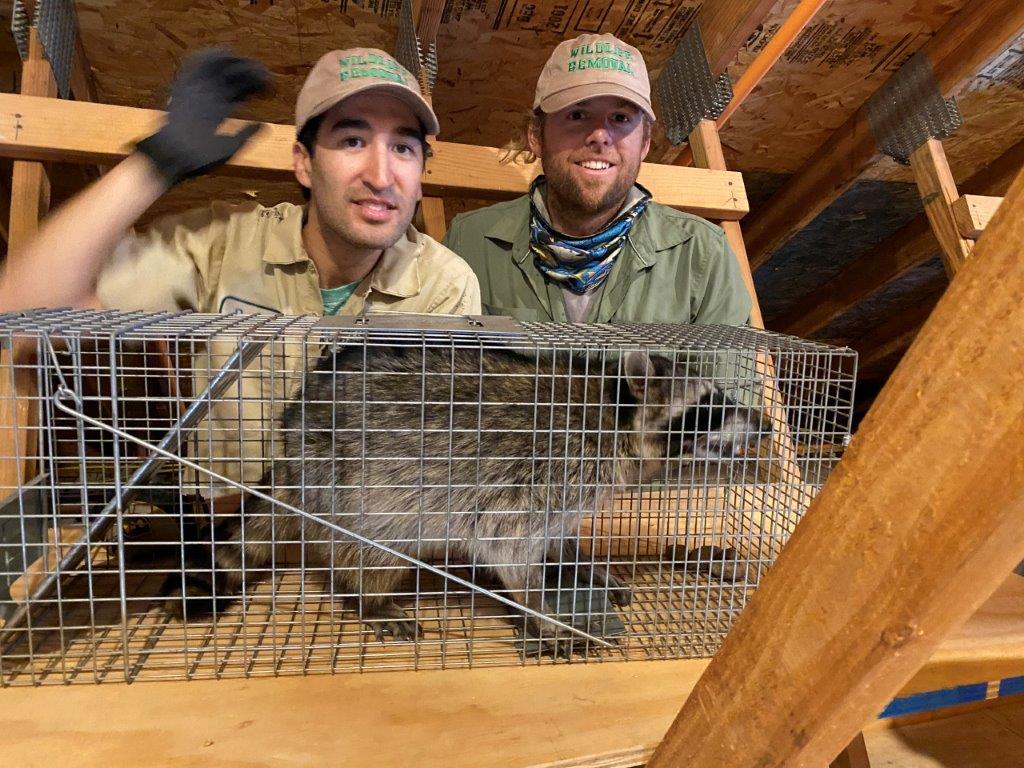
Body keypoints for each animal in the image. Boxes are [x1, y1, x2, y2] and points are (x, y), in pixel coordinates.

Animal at [169, 344, 767, 646]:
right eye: (711, 407)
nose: (763, 422)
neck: (618, 414)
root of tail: (290, 447)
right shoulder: (546, 469)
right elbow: (506, 545)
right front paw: (542, 612)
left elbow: (558, 538)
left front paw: (585, 565)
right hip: (356, 484)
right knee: (373, 549)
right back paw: (370, 596)